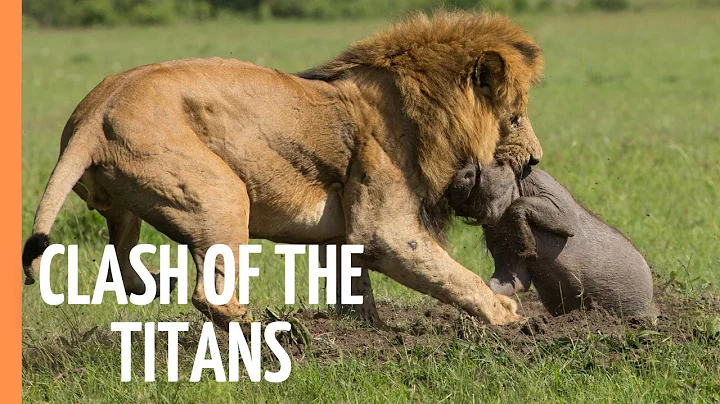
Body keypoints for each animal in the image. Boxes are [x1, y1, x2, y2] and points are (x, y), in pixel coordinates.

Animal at [22, 11, 544, 328]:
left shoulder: (343, 236)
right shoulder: (385, 230)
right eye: (515, 118)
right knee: (210, 296)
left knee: (125, 265)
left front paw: (366, 329)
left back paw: (156, 283)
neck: (419, 110)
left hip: (127, 207)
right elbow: (452, 274)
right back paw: (269, 331)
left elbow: (356, 289)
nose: (536, 159)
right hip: (222, 193)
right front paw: (507, 315)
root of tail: (94, 114)